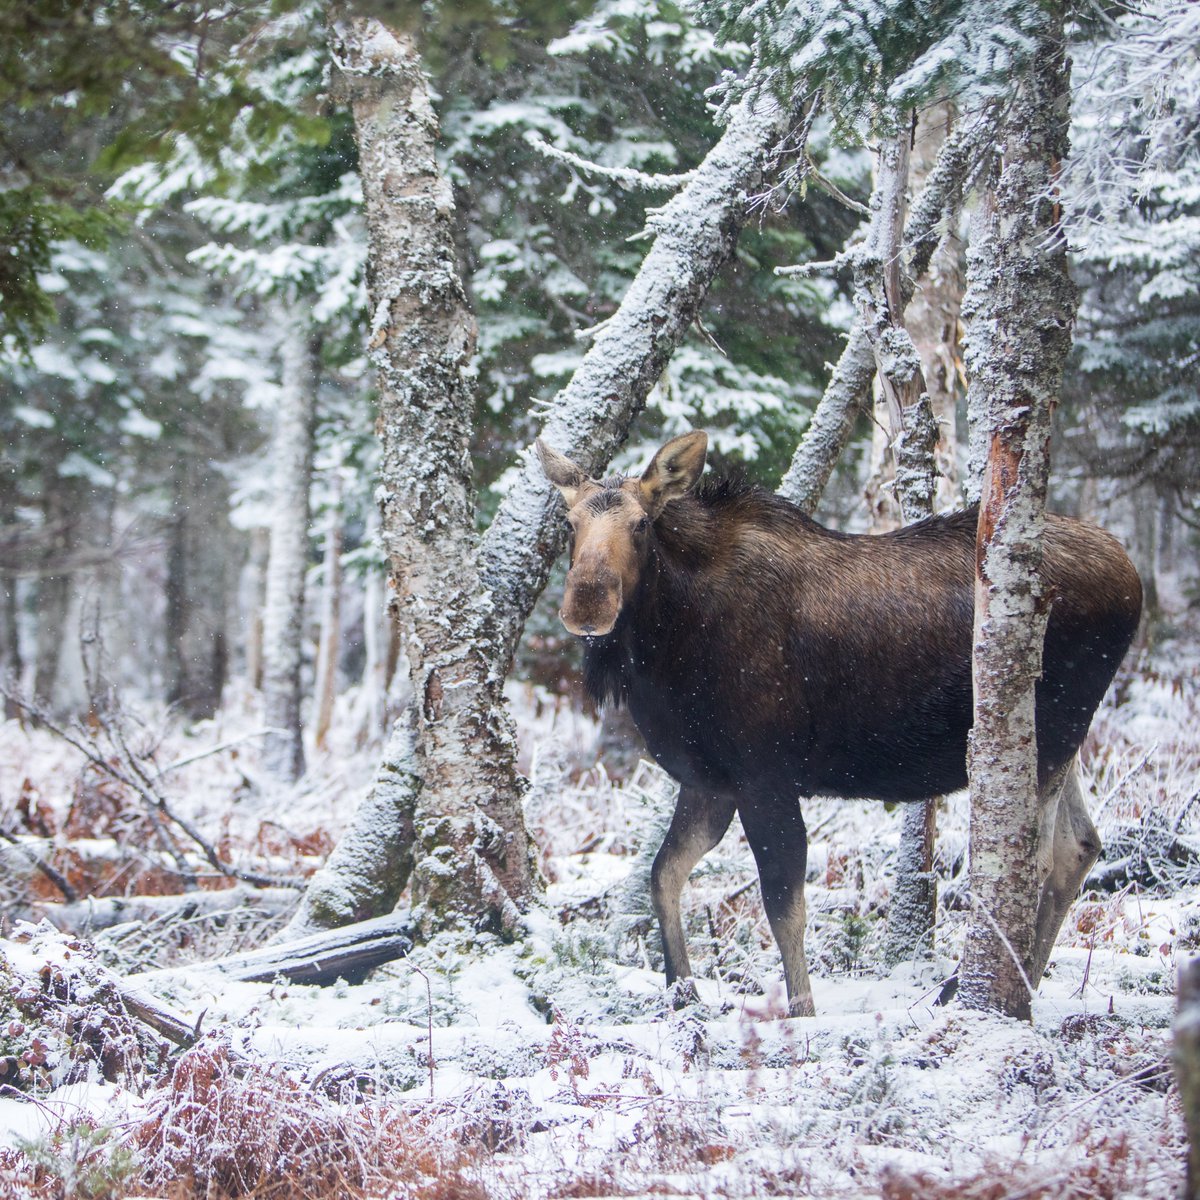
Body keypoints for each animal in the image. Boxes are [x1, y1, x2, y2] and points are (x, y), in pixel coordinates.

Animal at [536, 431, 1142, 1016]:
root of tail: (1132, 574)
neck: (663, 650)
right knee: (1080, 846)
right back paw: (1014, 988)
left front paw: (801, 1014)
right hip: (1064, 738)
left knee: (1033, 860)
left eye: (641, 524)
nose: (587, 602)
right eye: (569, 524)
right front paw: (681, 991)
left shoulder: (764, 775)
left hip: (1046, 731)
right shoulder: (709, 781)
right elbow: (663, 875)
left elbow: (783, 905)